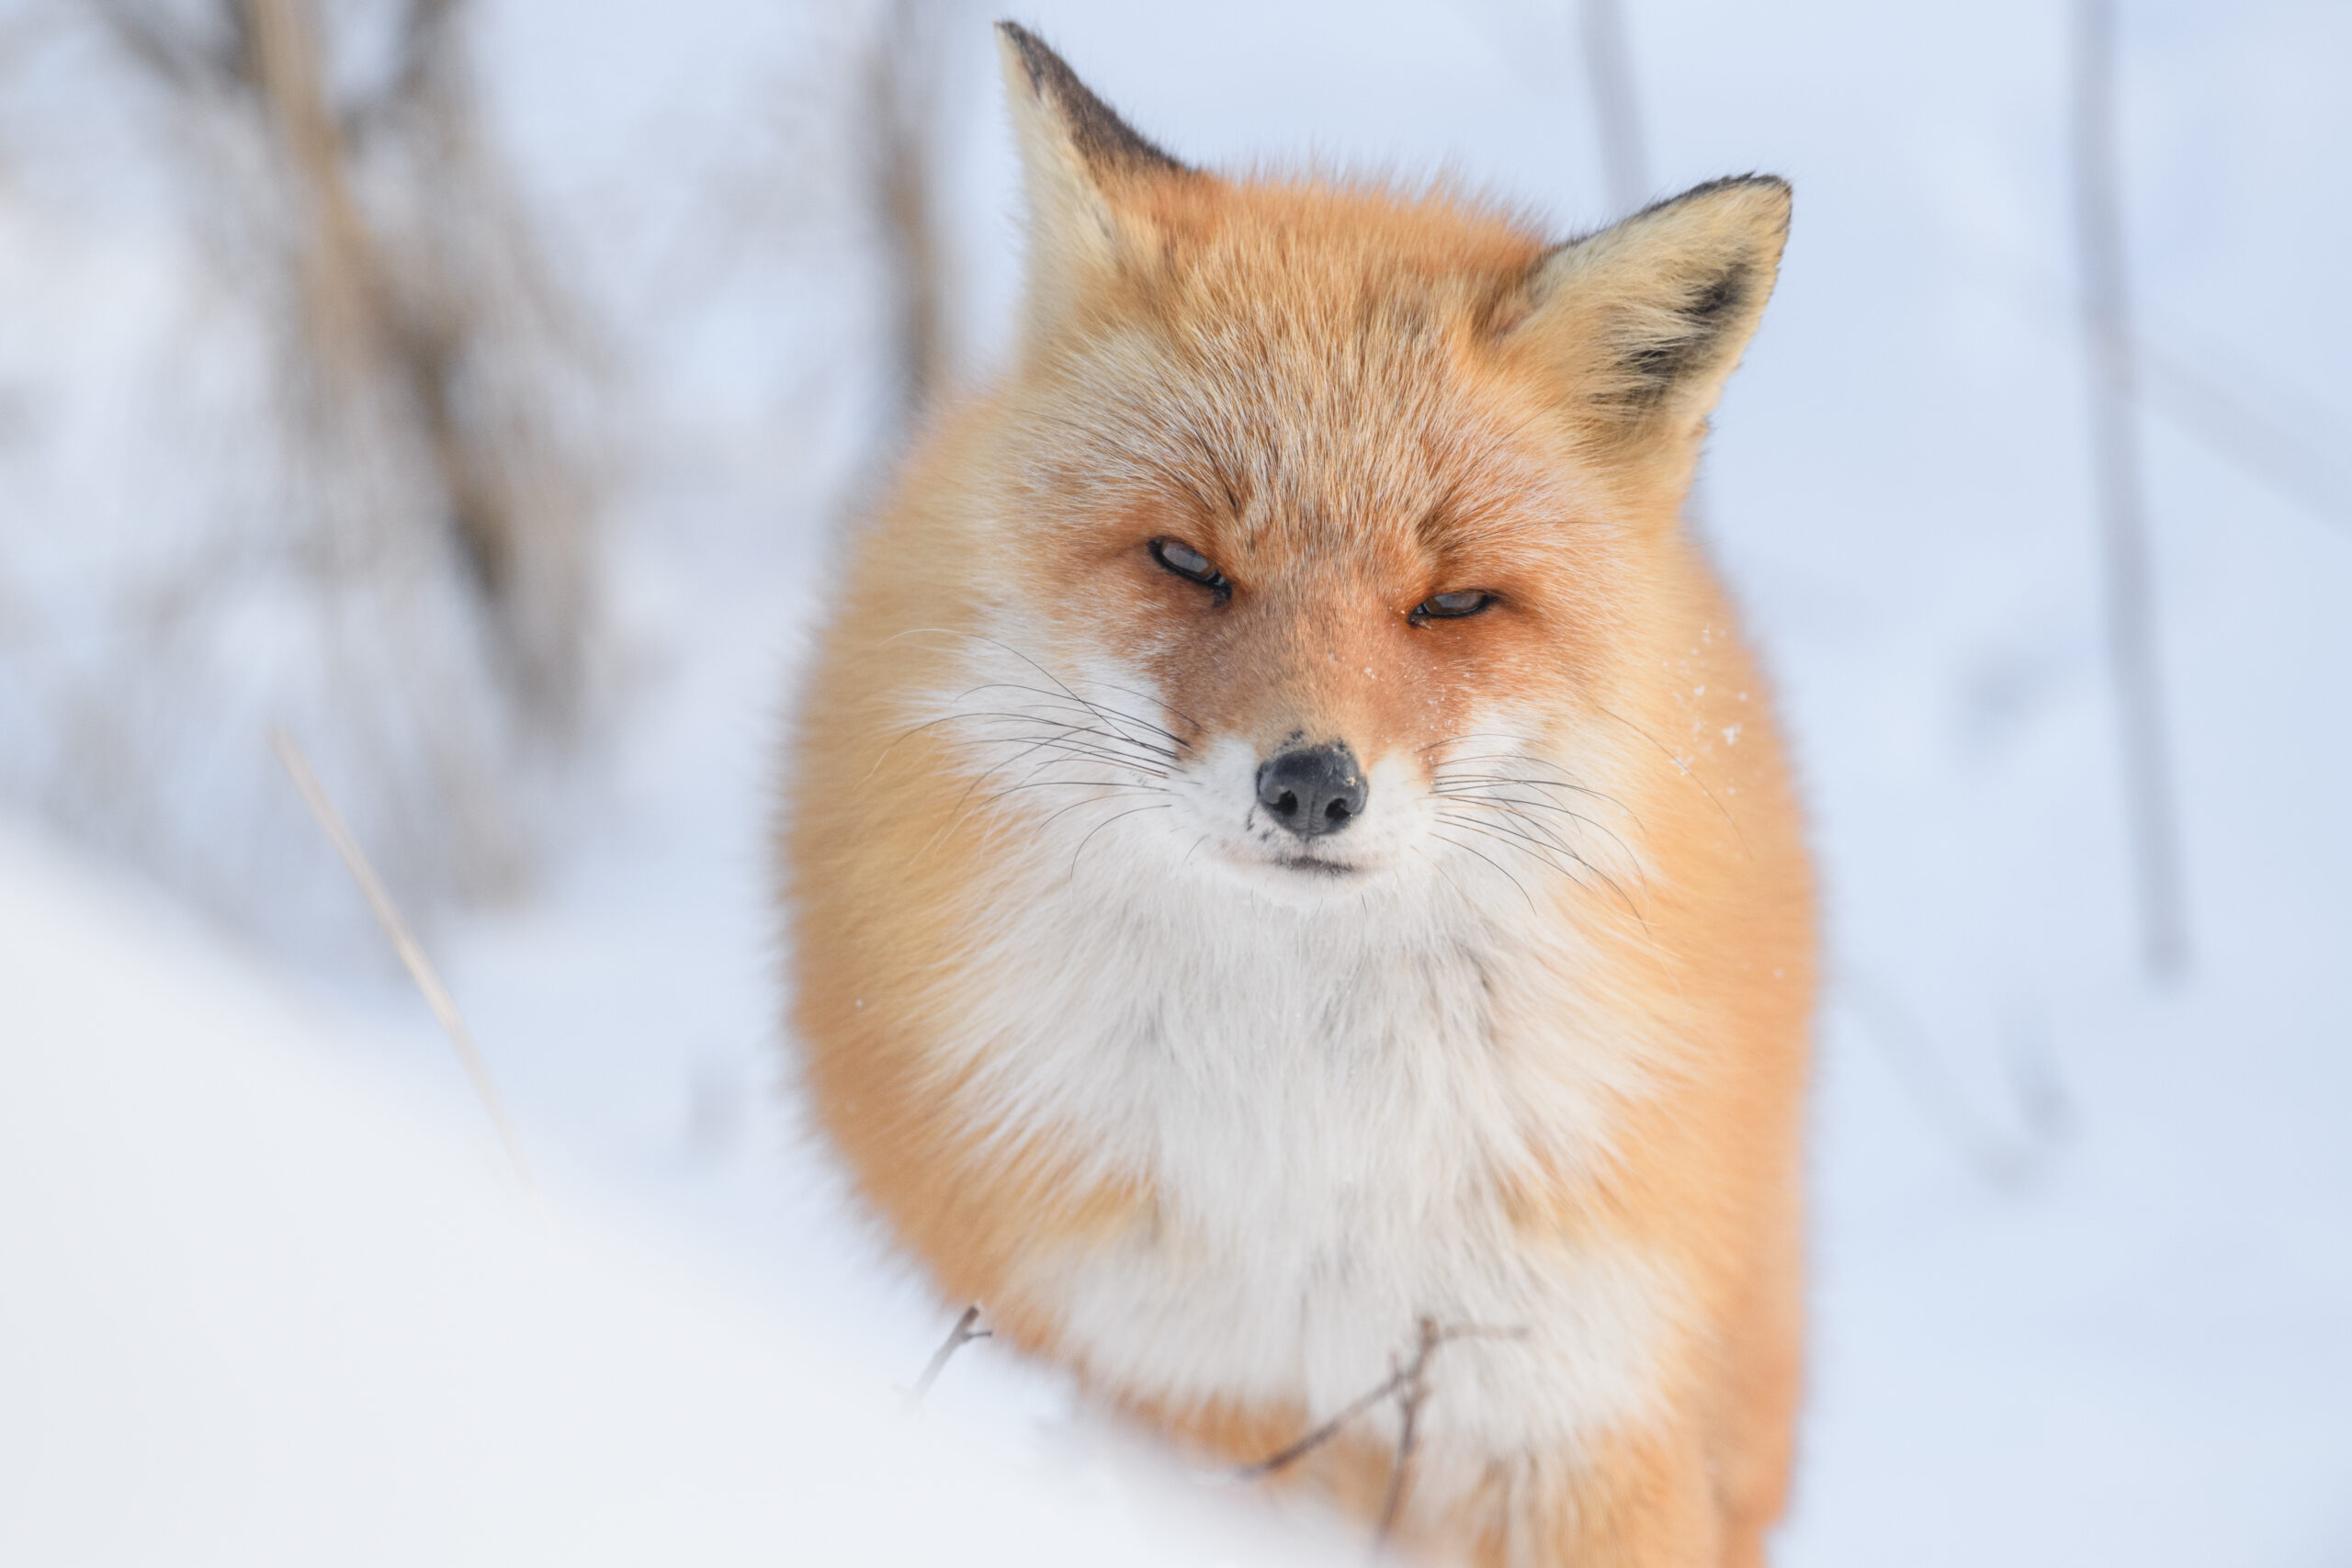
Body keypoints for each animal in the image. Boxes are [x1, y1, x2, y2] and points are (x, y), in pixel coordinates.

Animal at [781, 22, 1815, 1568]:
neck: (1319, 1143)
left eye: (1453, 601)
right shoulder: (1200, 1391)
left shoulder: (1576, 1391)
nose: (1312, 785)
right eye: (1187, 562)